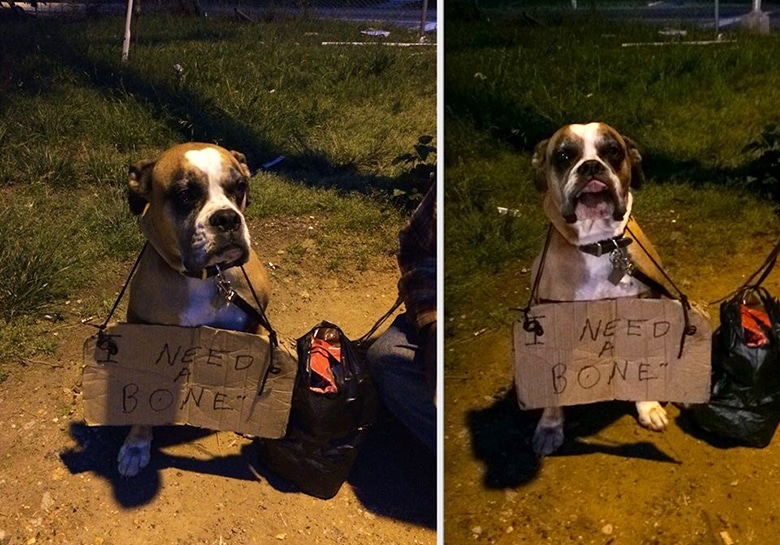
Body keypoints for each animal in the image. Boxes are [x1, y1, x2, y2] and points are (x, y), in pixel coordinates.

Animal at [118, 141, 272, 476]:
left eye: (239, 186)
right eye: (185, 194)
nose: (227, 218)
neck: (207, 277)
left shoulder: (254, 329)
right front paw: (137, 444)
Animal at [532, 122, 672, 454]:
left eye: (613, 151)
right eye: (563, 155)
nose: (591, 166)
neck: (598, 244)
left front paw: (648, 406)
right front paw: (550, 426)